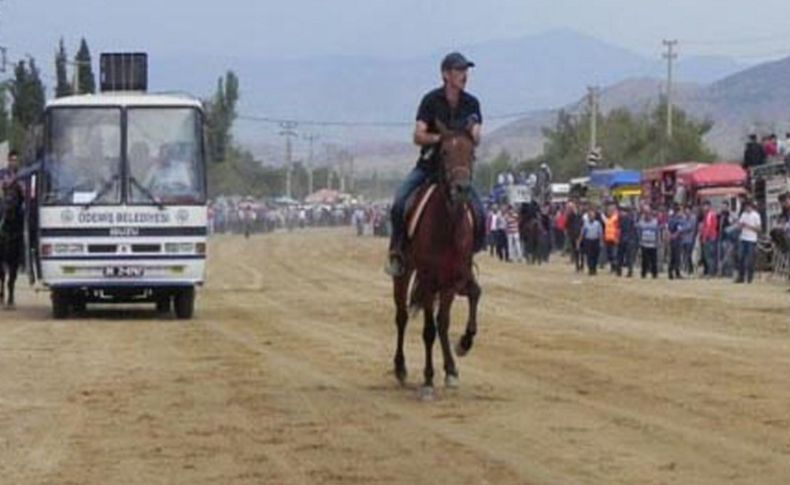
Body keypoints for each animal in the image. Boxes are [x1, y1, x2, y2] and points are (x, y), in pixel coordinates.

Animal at [394, 122, 482, 400]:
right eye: (443, 151)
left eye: (472, 153)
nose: (461, 188)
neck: (448, 226)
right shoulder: (428, 279)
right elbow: (428, 330)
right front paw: (428, 380)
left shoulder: (452, 281)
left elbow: (443, 323)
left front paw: (462, 347)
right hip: (405, 273)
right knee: (401, 316)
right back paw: (400, 367)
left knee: (442, 321)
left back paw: (451, 368)